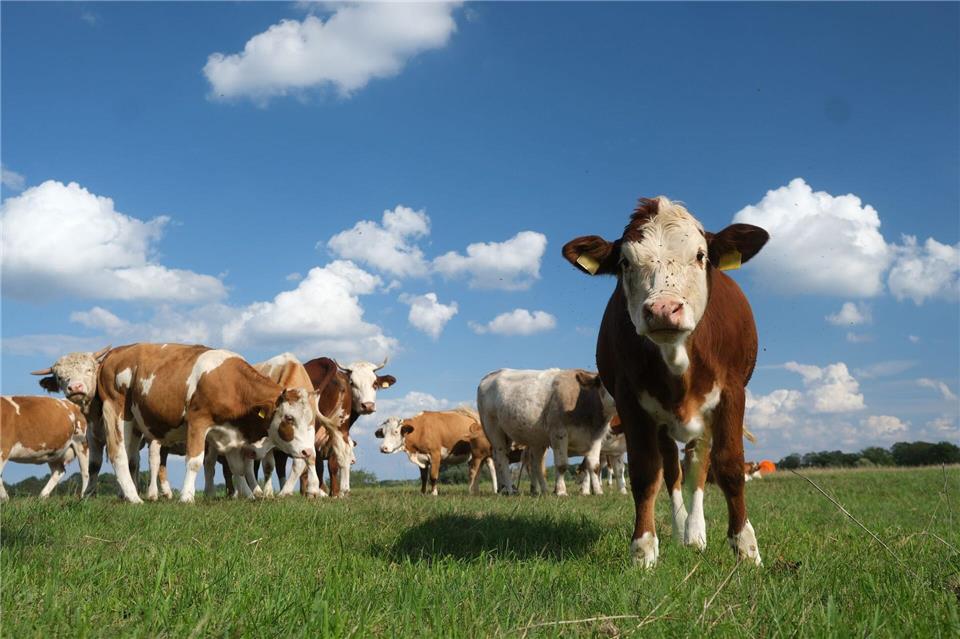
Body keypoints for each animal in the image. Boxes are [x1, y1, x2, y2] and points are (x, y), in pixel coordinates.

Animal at [84, 343, 317, 503]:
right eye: (289, 418)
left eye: (312, 420)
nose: (308, 452)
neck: (232, 383)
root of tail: (116, 352)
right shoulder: (198, 421)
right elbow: (195, 461)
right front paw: (187, 496)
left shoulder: (231, 434)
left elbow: (238, 468)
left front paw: (248, 495)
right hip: (114, 412)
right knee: (117, 453)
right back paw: (134, 497)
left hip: (134, 424)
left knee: (131, 457)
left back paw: (124, 495)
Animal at [477, 368, 617, 497]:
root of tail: (491, 375)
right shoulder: (559, 432)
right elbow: (561, 465)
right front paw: (561, 491)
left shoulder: (596, 438)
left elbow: (594, 466)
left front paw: (598, 491)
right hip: (493, 429)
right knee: (502, 459)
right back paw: (510, 490)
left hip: (530, 438)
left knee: (534, 464)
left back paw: (534, 490)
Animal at [562, 195, 768, 567]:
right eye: (626, 262)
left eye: (700, 255)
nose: (662, 309)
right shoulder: (632, 403)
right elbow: (647, 473)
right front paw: (643, 550)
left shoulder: (732, 394)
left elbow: (729, 466)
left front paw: (746, 548)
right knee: (673, 470)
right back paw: (681, 529)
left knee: (698, 467)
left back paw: (696, 533)